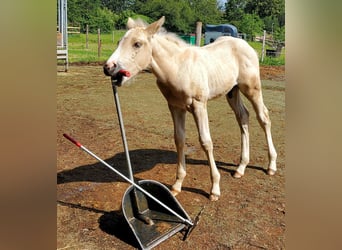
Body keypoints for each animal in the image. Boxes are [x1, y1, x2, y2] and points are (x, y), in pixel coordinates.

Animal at [103, 16, 276, 201]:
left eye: (137, 44)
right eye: (119, 42)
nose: (108, 67)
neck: (178, 68)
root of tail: (246, 45)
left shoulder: (199, 105)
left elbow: (206, 142)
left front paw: (215, 189)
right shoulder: (175, 106)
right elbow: (179, 139)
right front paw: (177, 185)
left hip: (252, 88)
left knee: (263, 117)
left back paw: (271, 165)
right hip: (232, 91)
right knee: (243, 116)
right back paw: (241, 167)